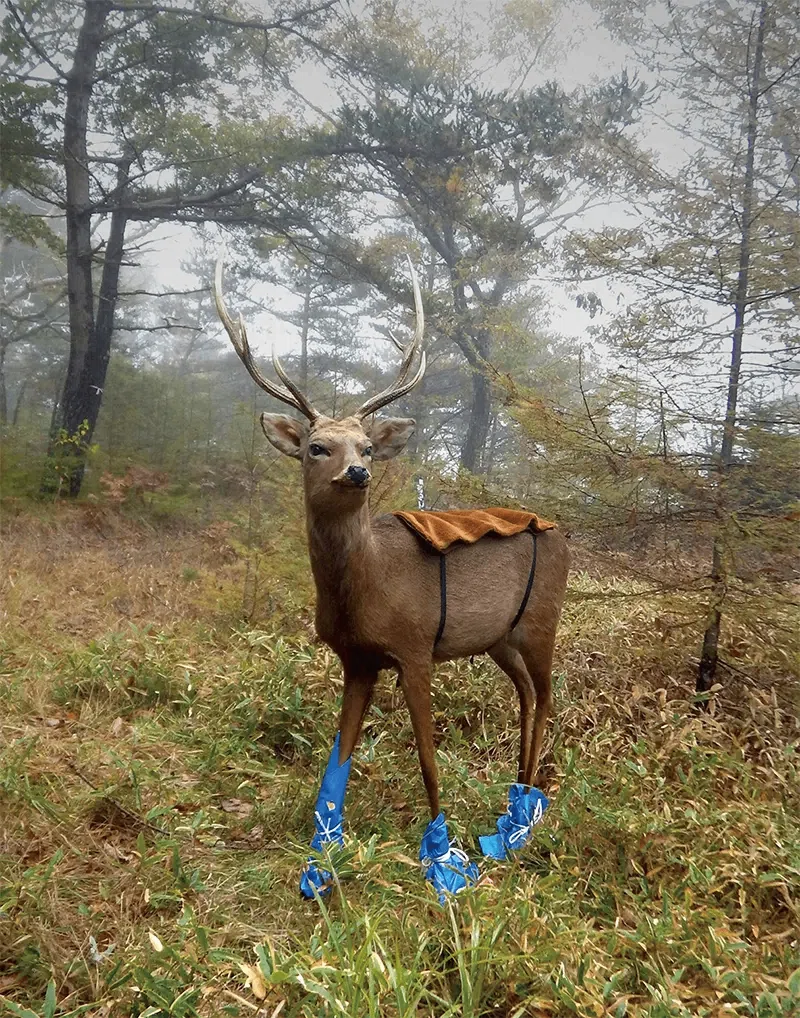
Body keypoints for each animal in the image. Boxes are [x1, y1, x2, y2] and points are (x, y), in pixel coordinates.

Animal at [213, 258, 570, 902]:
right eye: (316, 447)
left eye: (367, 447)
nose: (357, 471)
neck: (367, 588)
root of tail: (565, 533)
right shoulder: (357, 659)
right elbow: (337, 761)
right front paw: (319, 863)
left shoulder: (415, 646)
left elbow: (427, 758)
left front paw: (443, 860)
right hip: (499, 638)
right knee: (527, 694)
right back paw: (511, 807)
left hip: (542, 620)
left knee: (549, 693)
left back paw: (526, 816)